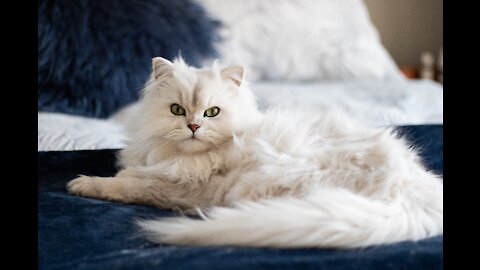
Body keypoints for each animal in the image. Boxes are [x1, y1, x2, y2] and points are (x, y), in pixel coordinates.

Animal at [66, 57, 442, 249]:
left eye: (212, 113)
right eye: (176, 110)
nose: (193, 126)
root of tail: (410, 189)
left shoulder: (180, 188)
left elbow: (125, 184)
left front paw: (83, 183)